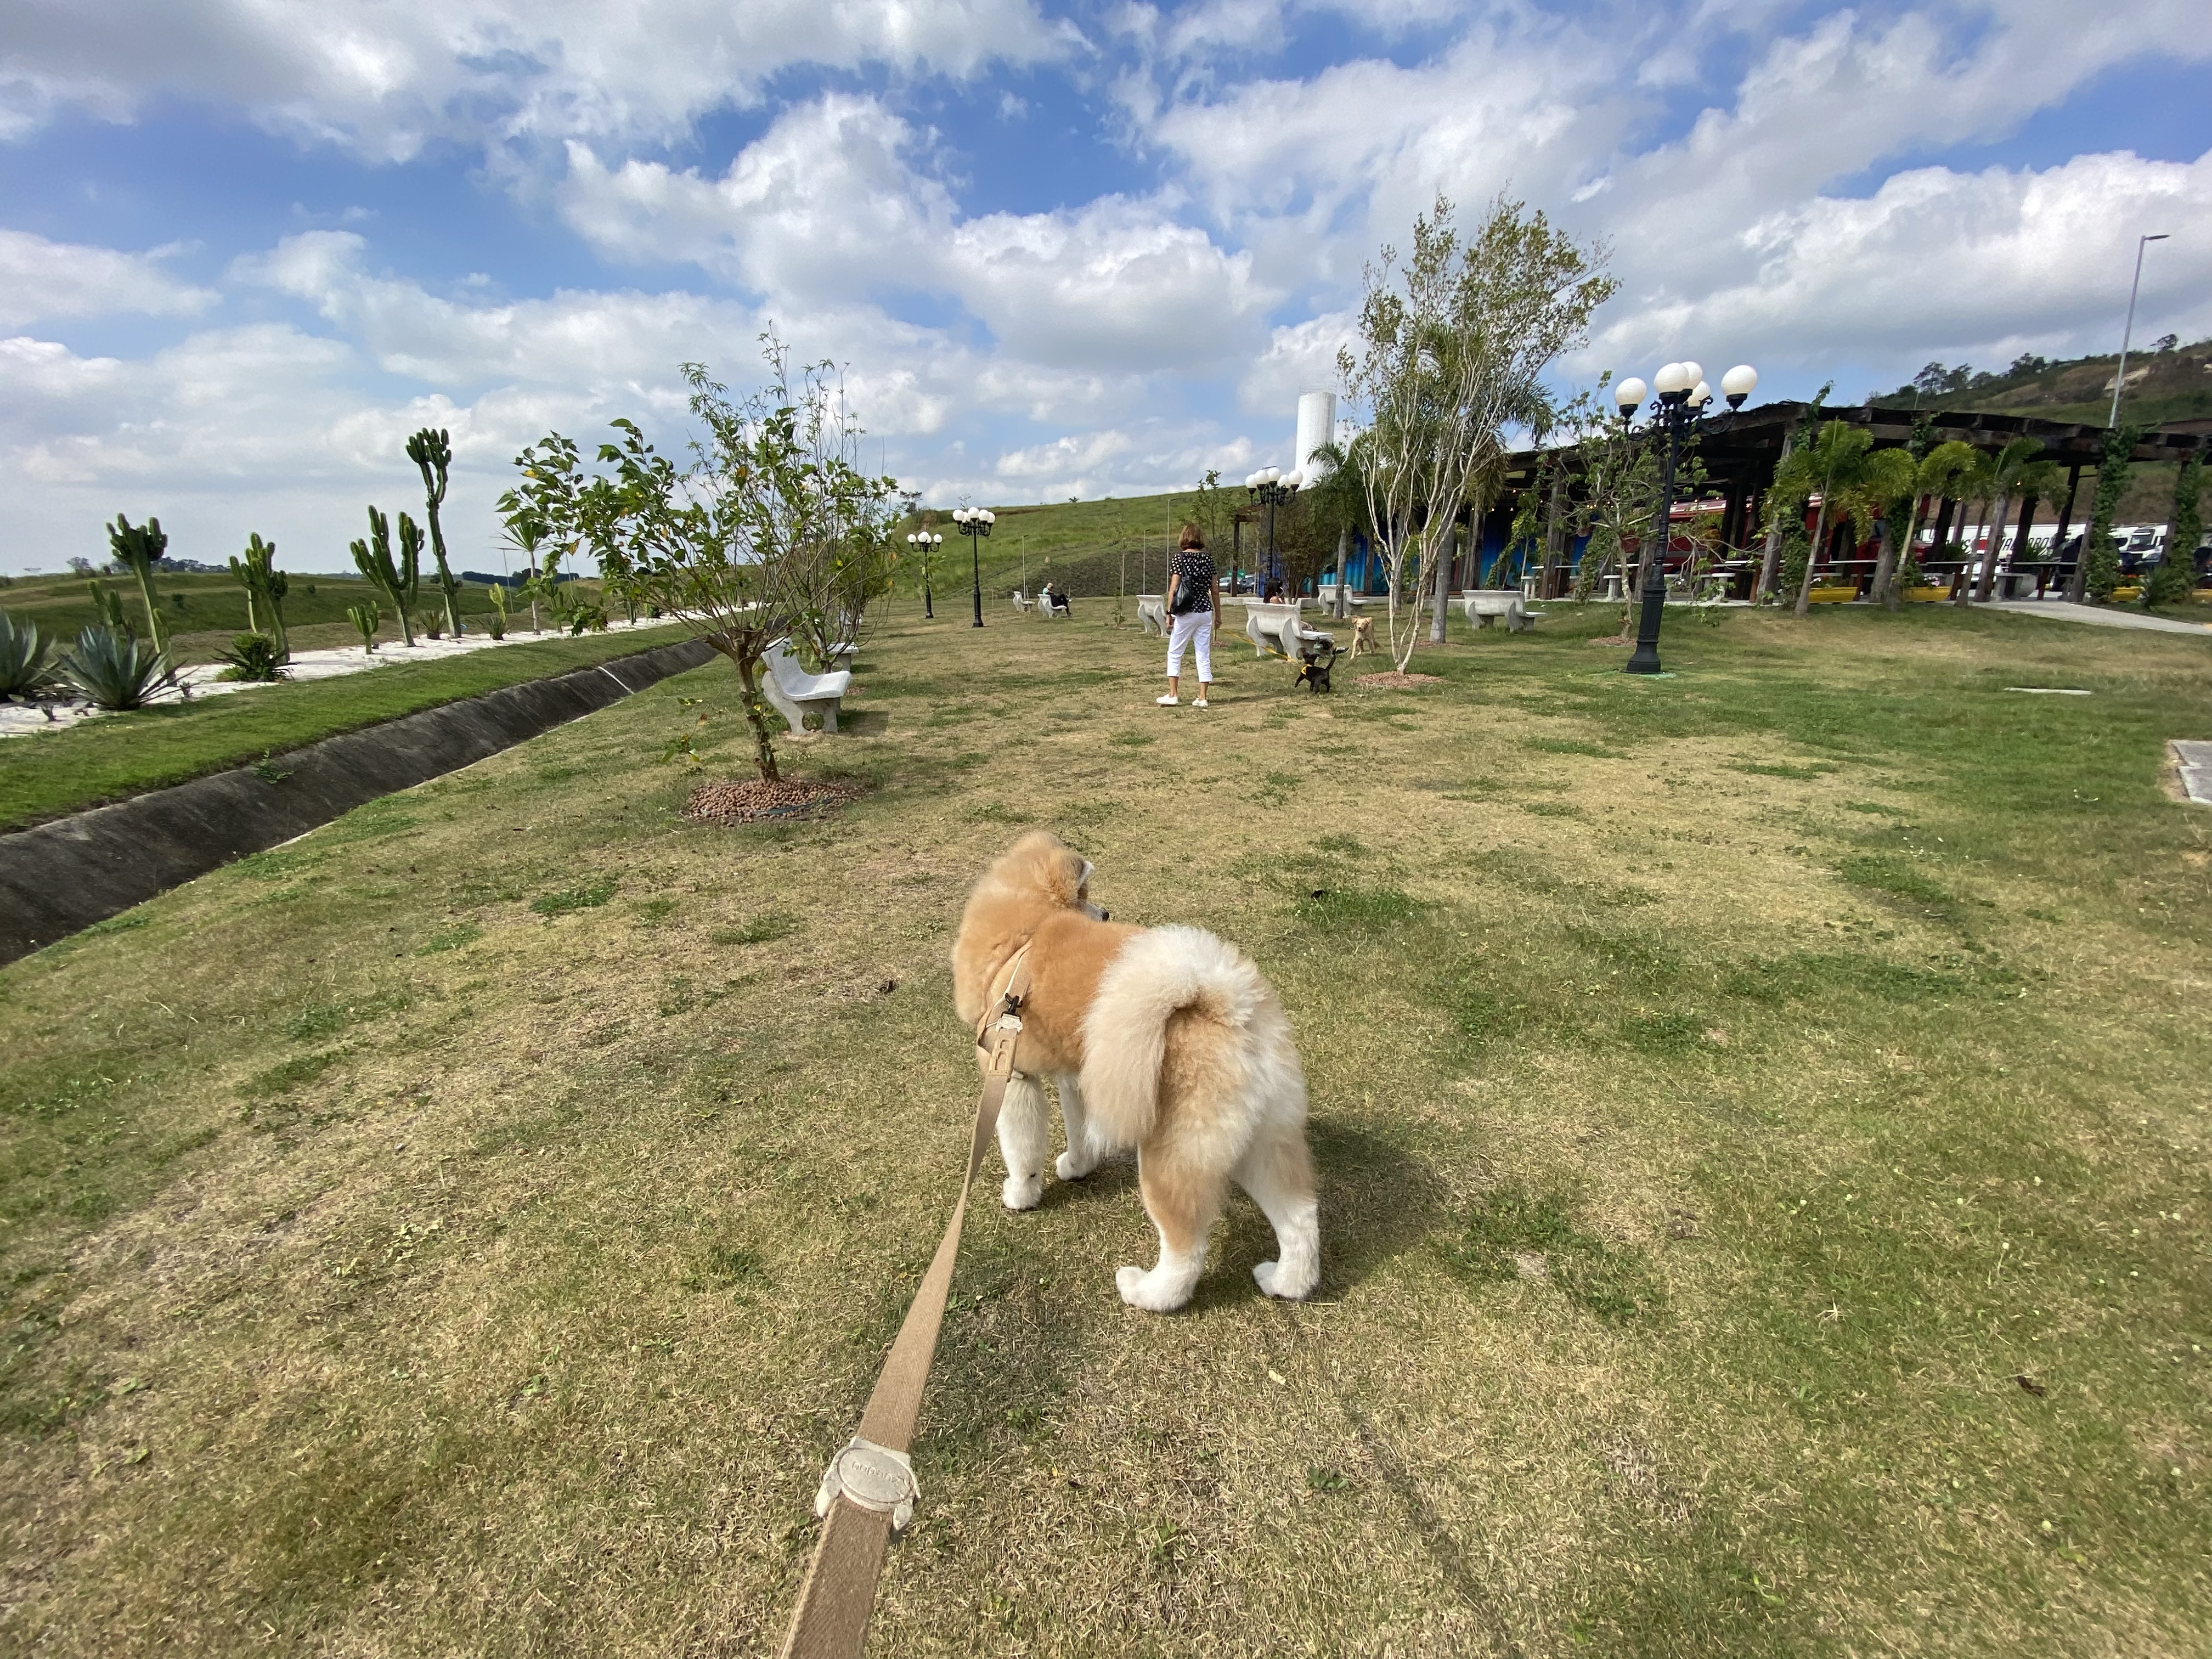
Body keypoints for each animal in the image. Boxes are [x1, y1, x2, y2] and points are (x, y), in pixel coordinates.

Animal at [951, 836, 1309, 1318]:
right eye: (1086, 896)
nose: (1105, 914)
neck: (1026, 936)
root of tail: (1227, 1004)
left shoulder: (1011, 1076)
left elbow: (1021, 1150)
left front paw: (1021, 1195)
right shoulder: (1080, 1079)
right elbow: (1080, 1132)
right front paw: (1077, 1167)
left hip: (1172, 1154)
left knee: (1186, 1249)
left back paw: (1147, 1293)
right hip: (1262, 1140)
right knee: (1301, 1219)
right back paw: (1285, 1283)